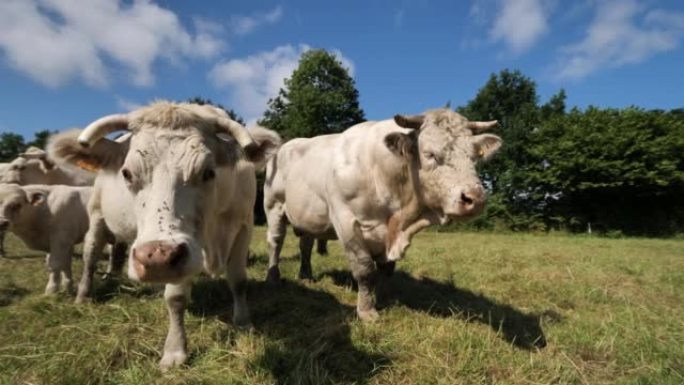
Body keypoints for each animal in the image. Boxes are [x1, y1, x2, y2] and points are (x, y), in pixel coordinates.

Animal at [47, 101, 280, 368]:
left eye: (208, 172)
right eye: (127, 173)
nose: (156, 258)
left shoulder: (243, 226)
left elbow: (239, 281)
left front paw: (243, 323)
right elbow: (176, 298)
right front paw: (175, 350)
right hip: (97, 214)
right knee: (91, 253)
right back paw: (84, 295)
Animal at [264, 109, 502, 320]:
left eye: (475, 156)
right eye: (430, 154)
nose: (475, 199)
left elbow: (387, 268)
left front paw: (386, 298)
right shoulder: (345, 219)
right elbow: (365, 269)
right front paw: (367, 311)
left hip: (308, 217)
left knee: (305, 245)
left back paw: (306, 275)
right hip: (273, 206)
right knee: (276, 241)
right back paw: (273, 278)